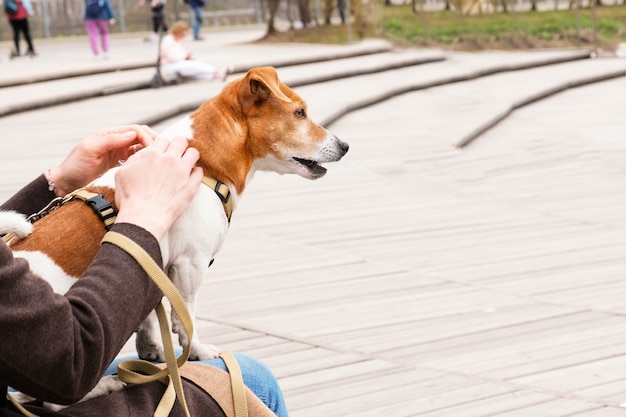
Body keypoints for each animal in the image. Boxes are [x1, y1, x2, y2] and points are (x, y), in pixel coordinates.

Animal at [2, 65, 348, 364]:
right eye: (300, 113)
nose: (345, 145)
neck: (205, 165)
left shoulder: (152, 261)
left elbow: (147, 315)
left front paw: (151, 348)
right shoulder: (190, 264)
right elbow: (186, 317)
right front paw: (197, 351)